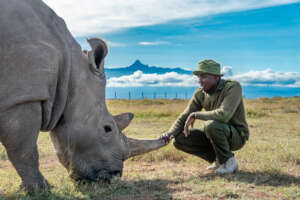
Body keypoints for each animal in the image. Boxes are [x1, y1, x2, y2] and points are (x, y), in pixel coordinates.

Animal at [0, 0, 166, 192]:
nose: (114, 175)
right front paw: (40, 189)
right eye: (107, 128)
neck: (70, 72)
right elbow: (24, 149)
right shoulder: (23, 97)